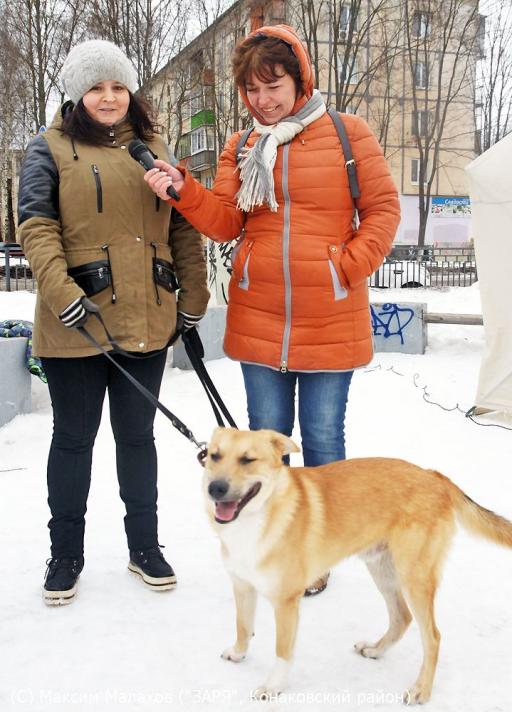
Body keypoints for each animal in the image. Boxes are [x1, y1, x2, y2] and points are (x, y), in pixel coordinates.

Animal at [202, 427, 512, 704]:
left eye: (247, 460)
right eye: (214, 456)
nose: (215, 488)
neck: (258, 516)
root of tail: (434, 475)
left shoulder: (286, 602)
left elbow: (282, 651)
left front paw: (274, 686)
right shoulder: (242, 586)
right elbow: (243, 626)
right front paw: (239, 653)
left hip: (415, 578)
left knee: (433, 637)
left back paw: (421, 689)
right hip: (382, 570)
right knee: (401, 617)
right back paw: (376, 650)